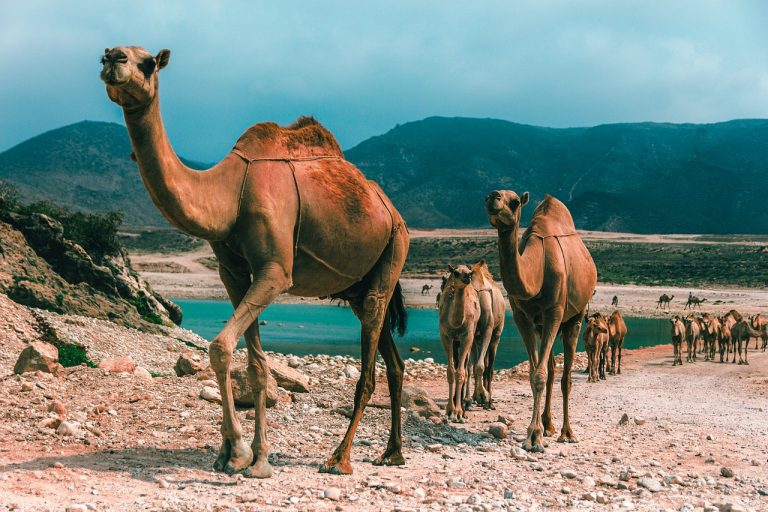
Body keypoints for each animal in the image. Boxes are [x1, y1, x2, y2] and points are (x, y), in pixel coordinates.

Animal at [102, 46, 414, 478]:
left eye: (147, 63)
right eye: (108, 54)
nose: (112, 58)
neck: (230, 193)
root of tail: (390, 210)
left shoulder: (276, 272)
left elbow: (220, 347)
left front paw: (237, 453)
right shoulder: (233, 272)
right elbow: (255, 365)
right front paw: (254, 456)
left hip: (395, 246)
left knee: (369, 364)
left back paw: (340, 458)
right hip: (358, 283)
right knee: (394, 360)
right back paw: (393, 453)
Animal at [438, 264, 480, 420]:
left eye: (470, 272)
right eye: (456, 273)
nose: (467, 277)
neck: (456, 323)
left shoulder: (467, 336)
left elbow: (461, 372)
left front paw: (458, 412)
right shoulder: (446, 335)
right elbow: (451, 372)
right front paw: (449, 411)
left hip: (470, 337)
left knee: (466, 368)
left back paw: (464, 406)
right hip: (455, 341)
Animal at [486, 190, 600, 450]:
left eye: (514, 202)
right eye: (488, 197)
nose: (493, 197)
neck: (535, 272)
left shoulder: (554, 312)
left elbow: (539, 375)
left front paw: (533, 437)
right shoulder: (522, 317)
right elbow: (534, 373)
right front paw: (537, 431)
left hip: (574, 318)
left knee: (565, 377)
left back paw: (566, 432)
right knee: (551, 368)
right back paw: (549, 425)